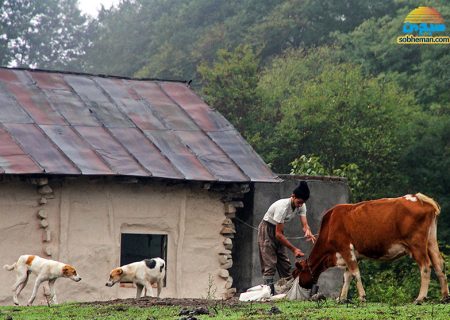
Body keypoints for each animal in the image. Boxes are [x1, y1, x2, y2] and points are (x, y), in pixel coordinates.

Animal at [294, 194, 448, 304]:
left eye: (298, 272)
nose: (301, 284)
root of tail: (418, 198)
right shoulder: (351, 254)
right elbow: (347, 276)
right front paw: (342, 298)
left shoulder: (346, 248)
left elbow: (355, 273)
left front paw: (362, 296)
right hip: (431, 241)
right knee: (439, 264)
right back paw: (445, 297)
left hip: (417, 245)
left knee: (426, 267)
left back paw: (420, 298)